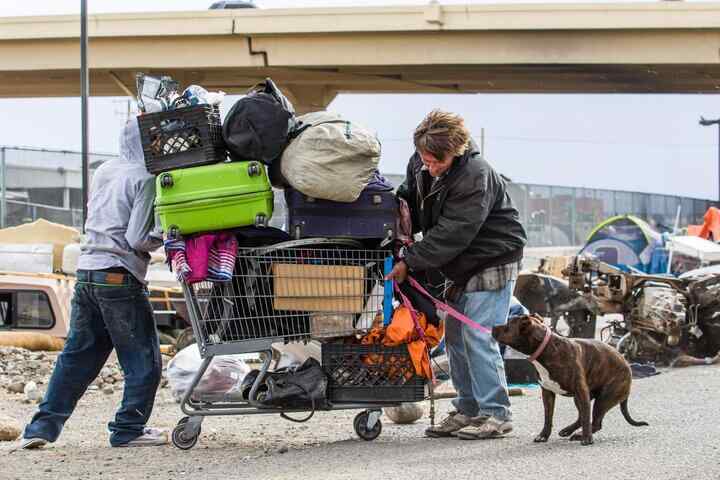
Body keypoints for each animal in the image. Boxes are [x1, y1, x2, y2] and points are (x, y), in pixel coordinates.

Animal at [496, 316, 648, 446]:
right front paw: (543, 435)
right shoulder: (548, 393)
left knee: (594, 421)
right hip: (581, 398)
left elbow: (586, 417)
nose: (493, 327)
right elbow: (548, 417)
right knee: (583, 417)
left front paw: (587, 439)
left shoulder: (581, 391)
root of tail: (627, 365)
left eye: (507, 325)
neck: (546, 349)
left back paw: (580, 435)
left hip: (604, 399)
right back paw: (568, 431)